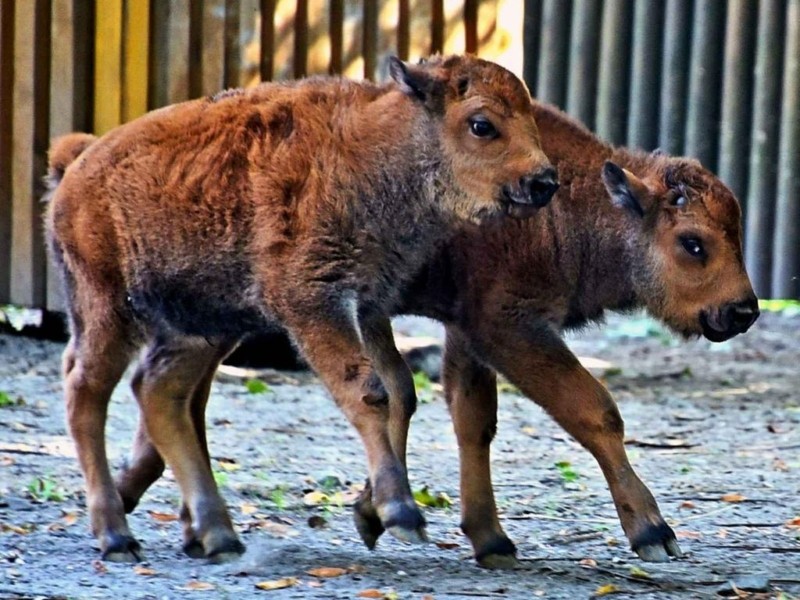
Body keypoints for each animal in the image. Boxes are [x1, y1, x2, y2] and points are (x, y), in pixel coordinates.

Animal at [45, 55, 556, 564]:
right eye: (481, 124)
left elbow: (398, 390)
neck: (370, 149)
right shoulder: (314, 303)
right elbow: (368, 392)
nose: (544, 182)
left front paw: (378, 511)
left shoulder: (367, 304)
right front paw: (401, 514)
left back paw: (217, 535)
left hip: (201, 325)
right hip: (108, 310)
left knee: (158, 391)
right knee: (85, 392)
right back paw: (117, 536)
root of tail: (77, 165)